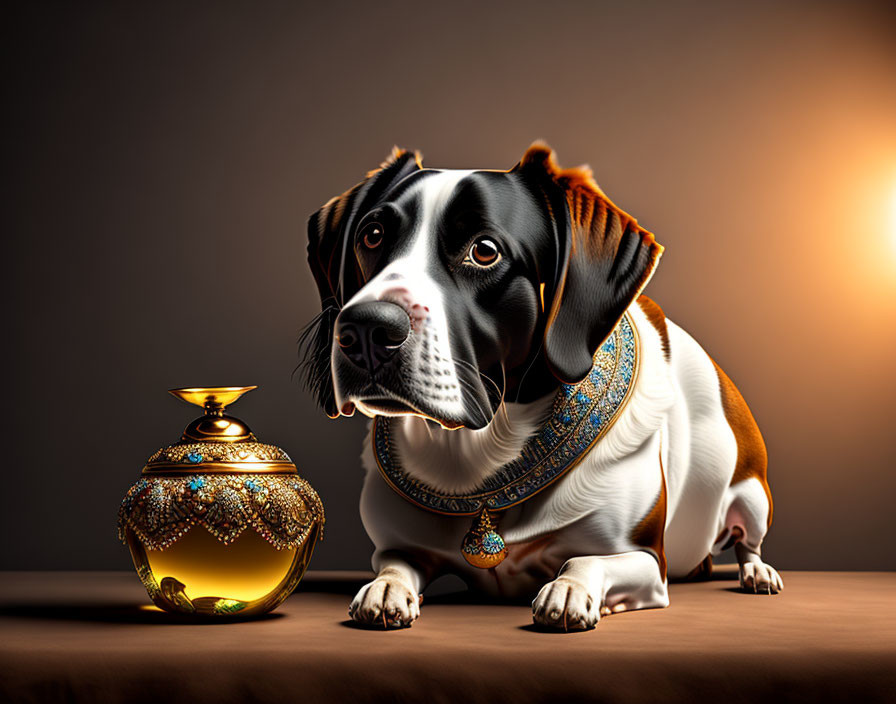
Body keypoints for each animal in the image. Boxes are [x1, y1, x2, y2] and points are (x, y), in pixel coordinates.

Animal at [300, 140, 776, 628]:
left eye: (484, 251)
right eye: (372, 236)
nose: (366, 329)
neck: (479, 461)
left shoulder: (644, 559)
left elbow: (584, 560)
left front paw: (568, 589)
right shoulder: (402, 546)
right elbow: (394, 565)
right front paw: (385, 588)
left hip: (752, 497)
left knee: (748, 542)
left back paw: (757, 572)